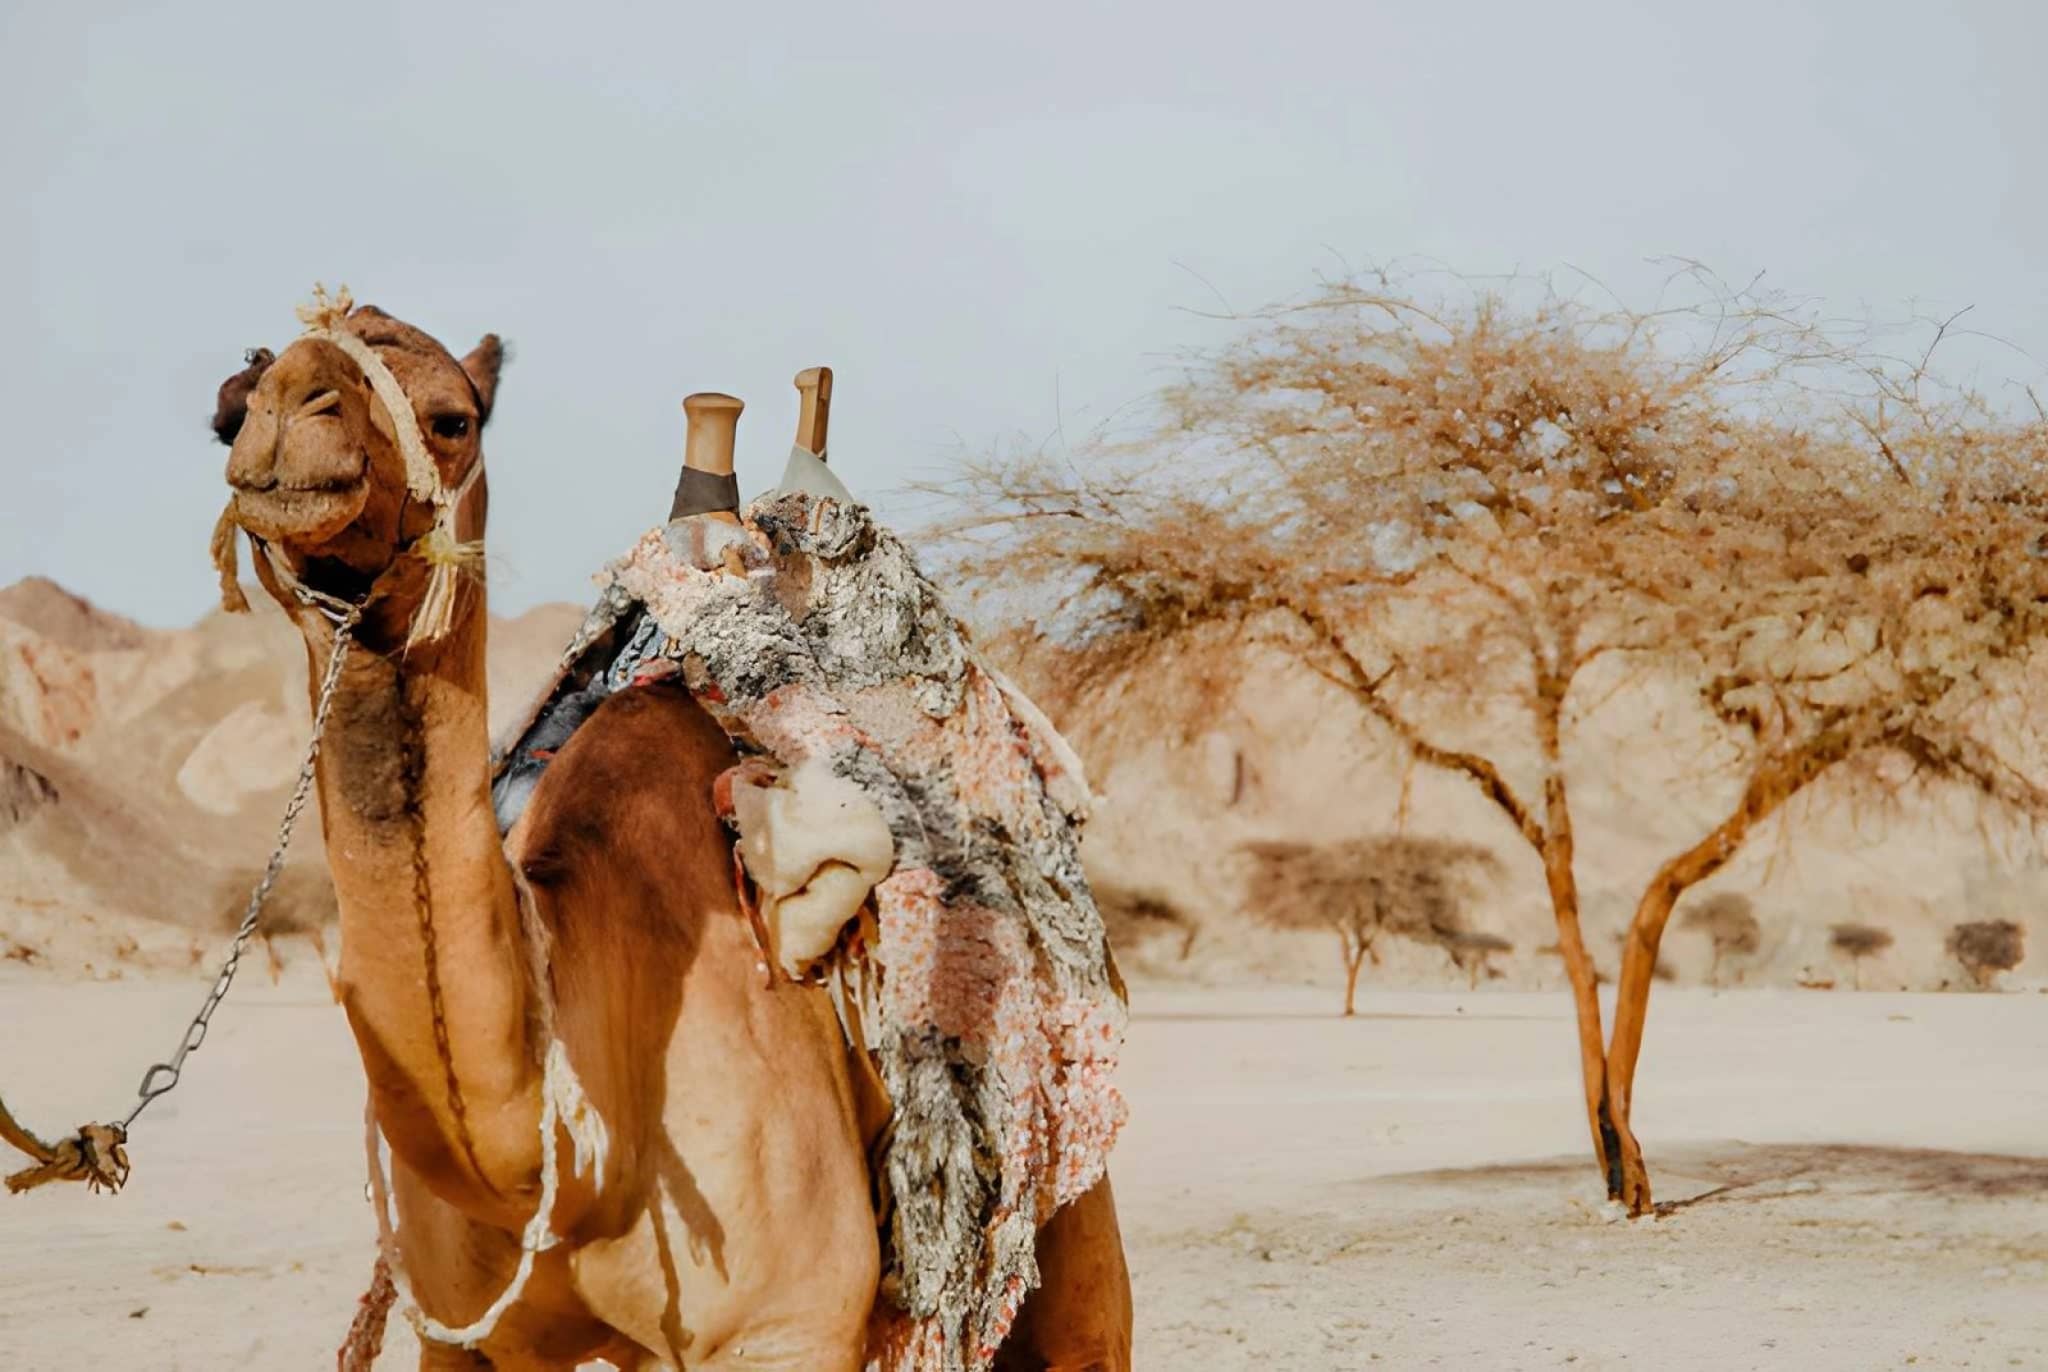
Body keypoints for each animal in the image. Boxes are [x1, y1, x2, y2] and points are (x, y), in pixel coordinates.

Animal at [211, 298, 1132, 1371]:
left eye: (452, 419)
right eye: (230, 411)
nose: (291, 409)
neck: (567, 1165)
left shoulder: (784, 1328)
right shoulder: (474, 1340)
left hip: (1067, 1227)